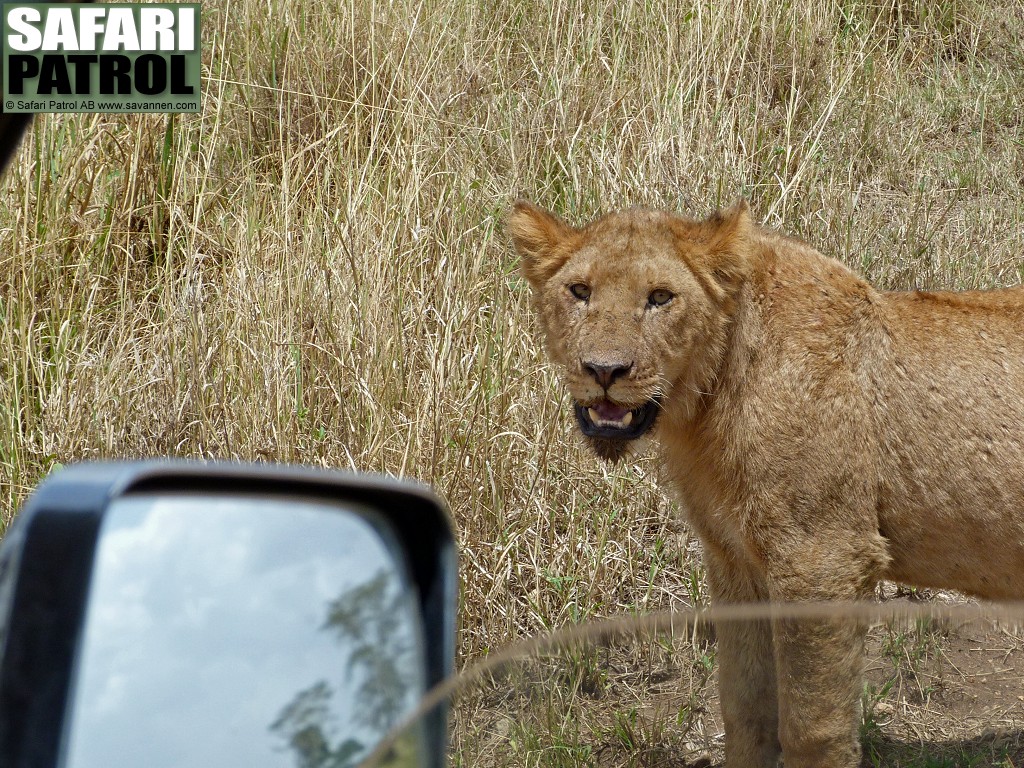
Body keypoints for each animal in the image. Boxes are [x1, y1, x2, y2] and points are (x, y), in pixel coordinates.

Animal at [507, 199, 1024, 768]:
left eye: (660, 297)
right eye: (580, 291)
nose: (603, 370)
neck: (707, 402)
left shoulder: (824, 559)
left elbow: (811, 727)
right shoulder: (735, 559)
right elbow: (745, 705)